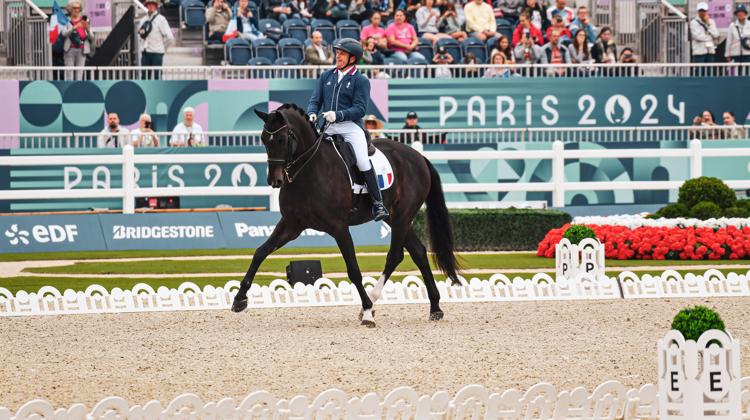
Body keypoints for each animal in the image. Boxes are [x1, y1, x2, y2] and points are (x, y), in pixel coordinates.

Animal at [232, 103, 462, 326]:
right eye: (264, 139)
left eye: (282, 139)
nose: (275, 181)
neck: (309, 171)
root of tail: (418, 156)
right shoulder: (291, 225)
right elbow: (260, 252)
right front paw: (239, 299)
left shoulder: (339, 228)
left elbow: (354, 270)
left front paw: (368, 311)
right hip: (396, 219)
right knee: (419, 253)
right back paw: (435, 308)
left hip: (401, 217)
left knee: (395, 256)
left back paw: (373, 302)